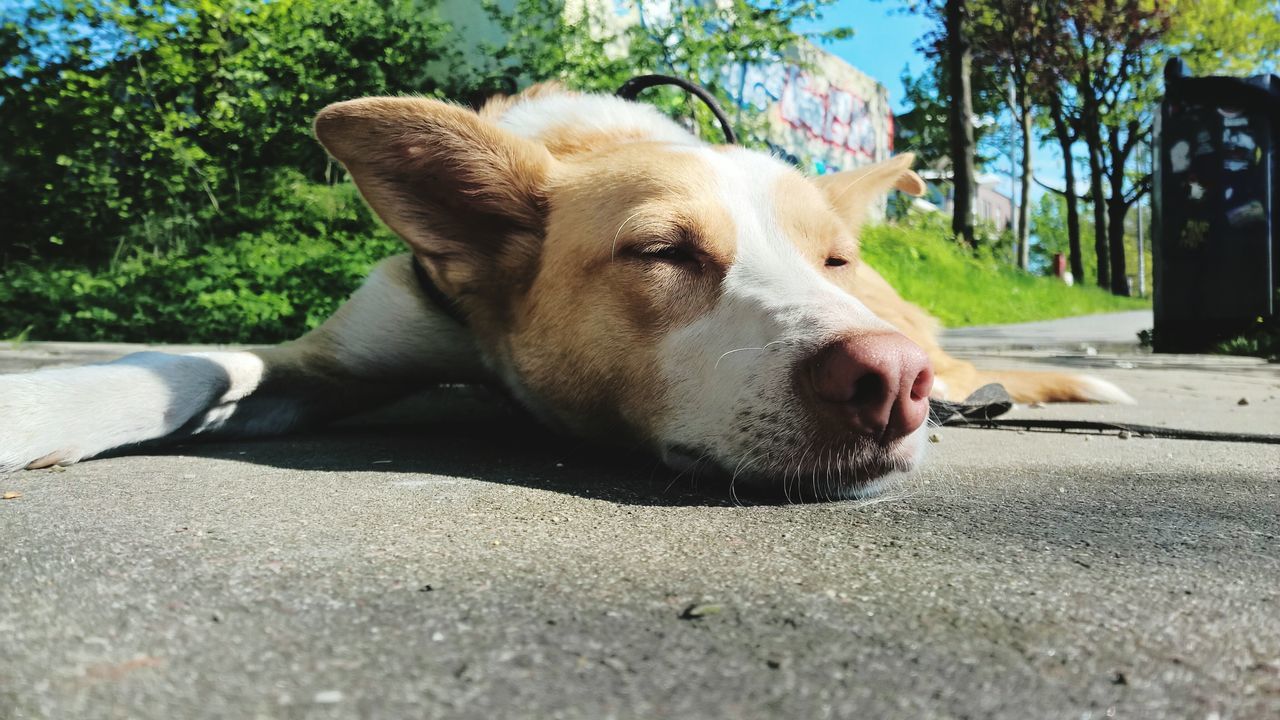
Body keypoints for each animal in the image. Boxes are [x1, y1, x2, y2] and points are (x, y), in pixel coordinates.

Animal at [0, 83, 1131, 497]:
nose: (887, 385)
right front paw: (42, 407)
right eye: (662, 252)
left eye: (832, 262)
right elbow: (196, 364)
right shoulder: (338, 352)